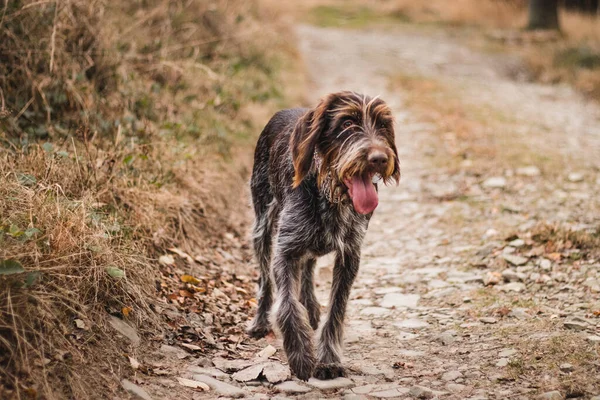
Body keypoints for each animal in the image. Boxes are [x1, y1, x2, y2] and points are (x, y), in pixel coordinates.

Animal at [246, 91, 400, 382]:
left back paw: (311, 308)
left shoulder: (350, 254)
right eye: (347, 123)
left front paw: (328, 360)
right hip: (262, 223)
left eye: (383, 125)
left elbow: (337, 310)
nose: (379, 158)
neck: (329, 192)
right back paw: (261, 322)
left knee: (308, 265)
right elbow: (287, 305)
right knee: (266, 281)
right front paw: (301, 355)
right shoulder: (285, 249)